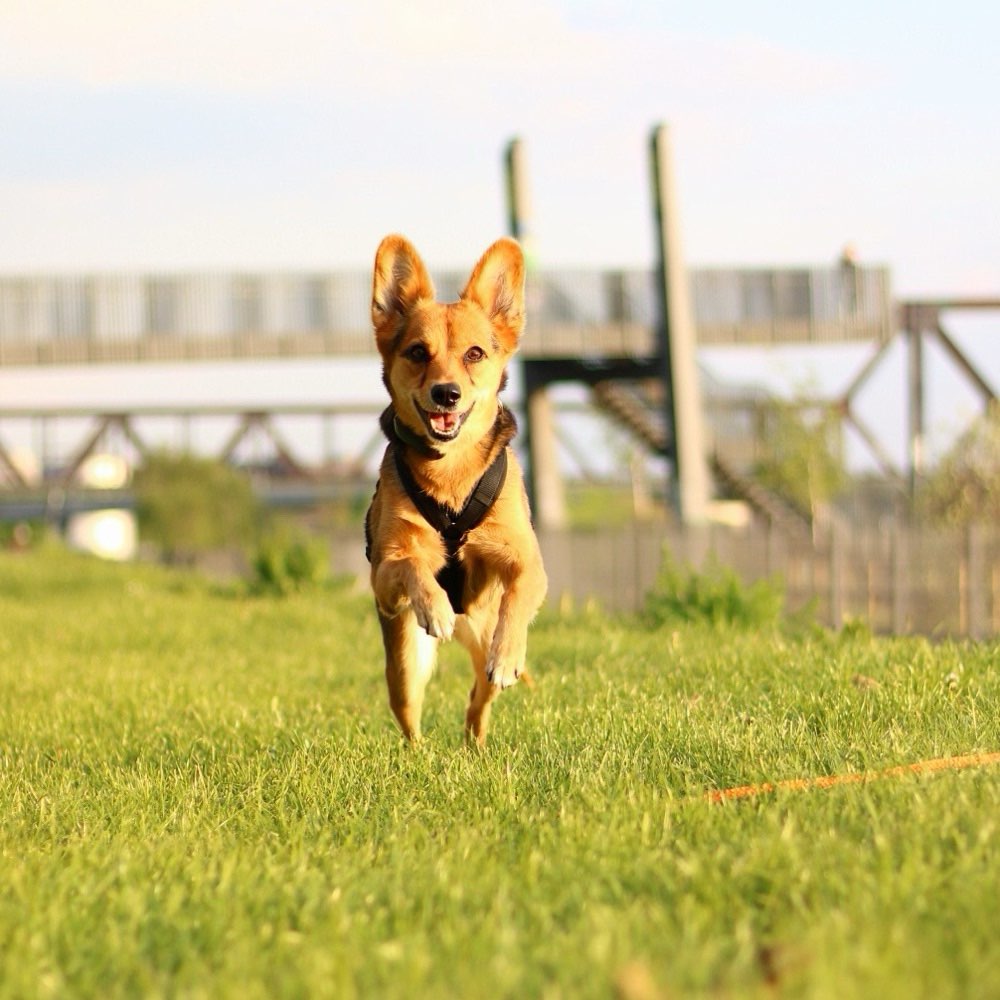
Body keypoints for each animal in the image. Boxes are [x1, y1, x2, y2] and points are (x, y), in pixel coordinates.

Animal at [364, 236, 548, 744]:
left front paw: (508, 653)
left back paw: (476, 742)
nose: (446, 394)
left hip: (481, 647)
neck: (450, 475)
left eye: (475, 354)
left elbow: (519, 594)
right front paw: (435, 607)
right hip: (404, 666)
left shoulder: (526, 560)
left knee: (478, 699)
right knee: (409, 716)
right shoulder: (384, 575)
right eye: (417, 352)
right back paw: (422, 754)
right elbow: (411, 565)